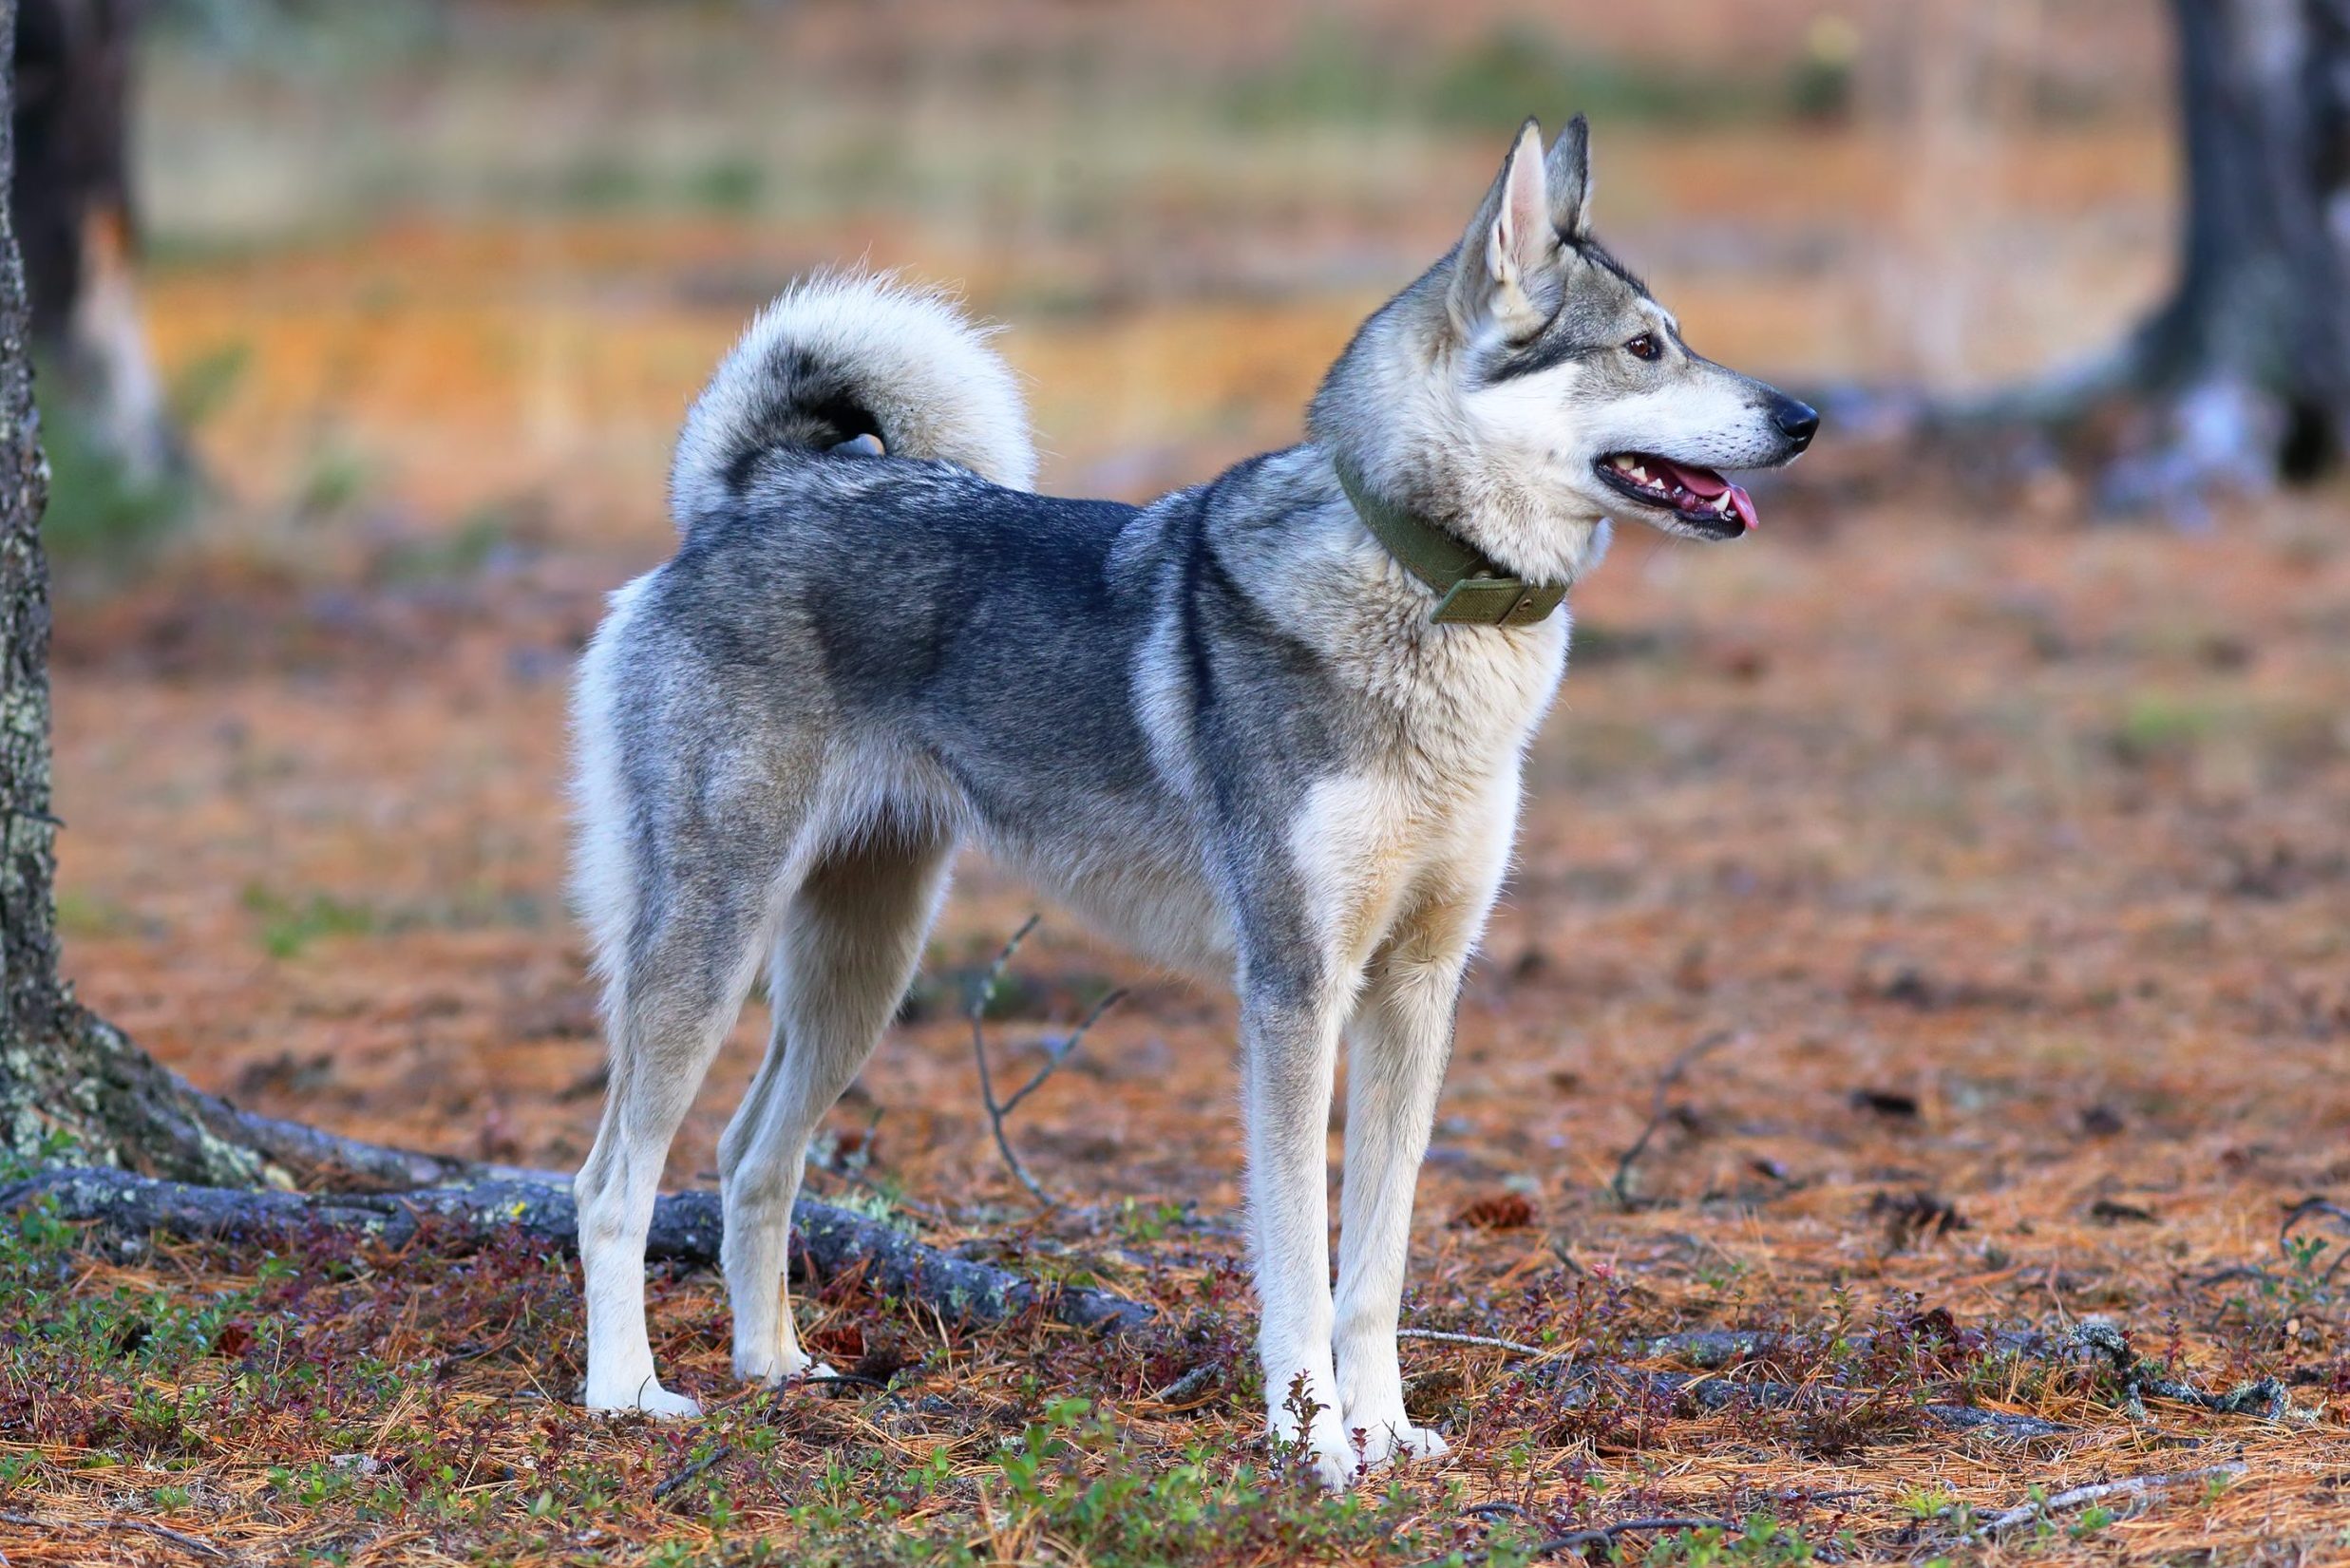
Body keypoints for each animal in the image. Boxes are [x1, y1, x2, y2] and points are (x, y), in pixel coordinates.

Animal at [568, 113, 1813, 1485]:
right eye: (1643, 346)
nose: (1804, 417)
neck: (1425, 590)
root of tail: (750, 493)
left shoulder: (1418, 985)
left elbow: (1375, 1261)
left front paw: (1387, 1429)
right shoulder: (1294, 988)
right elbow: (1299, 1253)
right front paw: (1312, 1441)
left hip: (860, 970)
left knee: (749, 1157)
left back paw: (773, 1366)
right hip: (711, 943)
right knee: (610, 1180)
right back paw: (627, 1391)